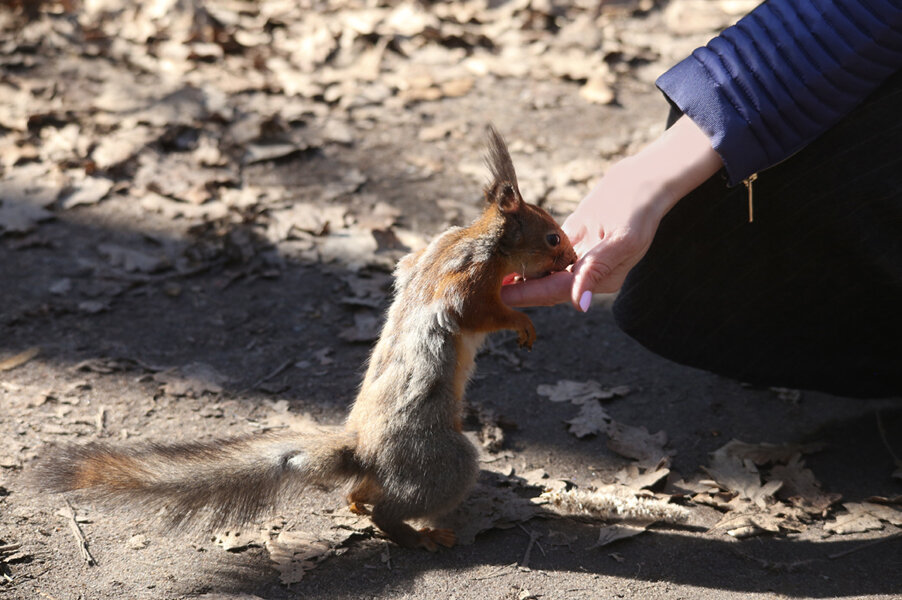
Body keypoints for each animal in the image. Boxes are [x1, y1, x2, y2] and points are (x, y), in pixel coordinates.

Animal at [35, 126, 580, 548]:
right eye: (552, 237)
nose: (573, 259)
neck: (478, 238)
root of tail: (364, 450)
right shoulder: (466, 284)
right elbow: (482, 313)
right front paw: (523, 322)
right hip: (441, 461)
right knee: (393, 510)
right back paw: (418, 534)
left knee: (360, 493)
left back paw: (360, 504)